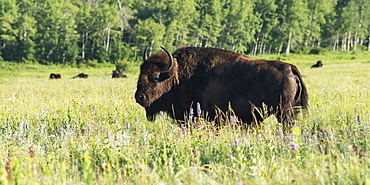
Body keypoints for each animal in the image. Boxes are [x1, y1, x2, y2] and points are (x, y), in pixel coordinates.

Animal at [134, 46, 308, 129]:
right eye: (140, 72)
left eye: (155, 76)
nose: (139, 97)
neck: (177, 76)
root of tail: (289, 68)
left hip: (285, 113)